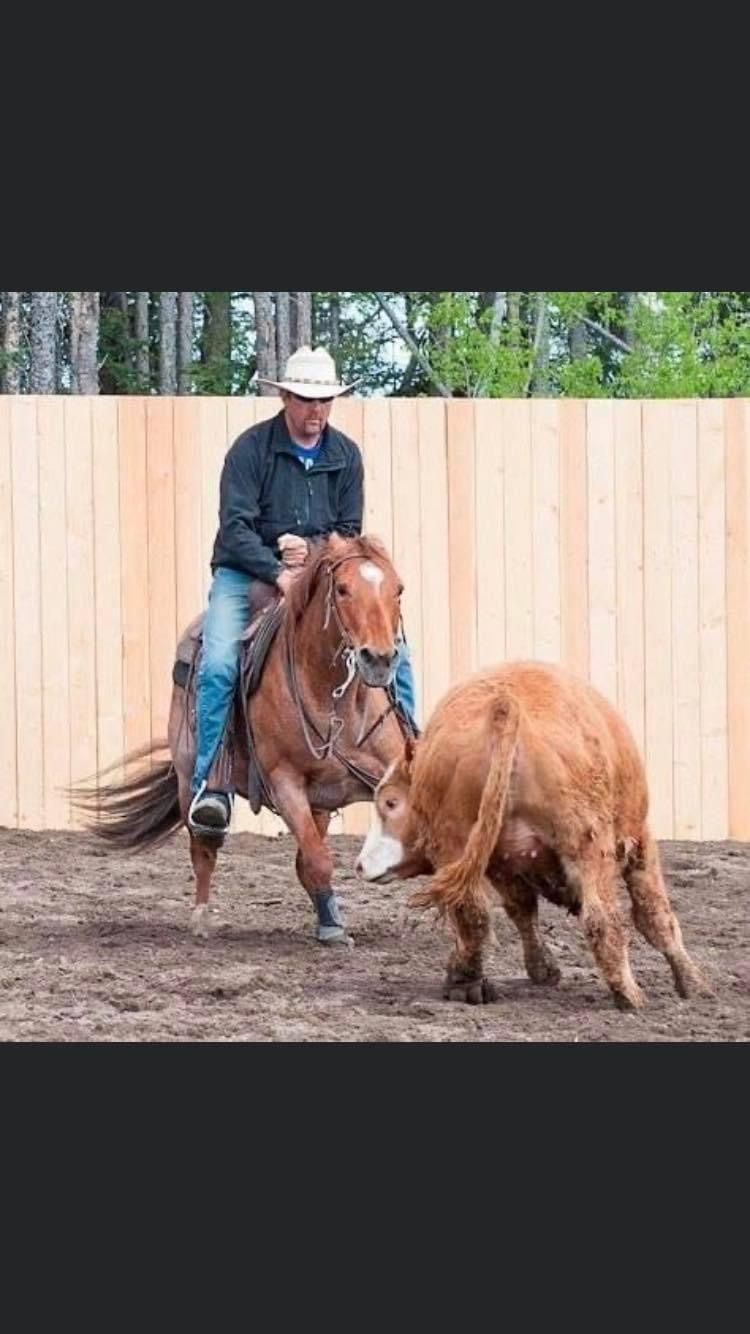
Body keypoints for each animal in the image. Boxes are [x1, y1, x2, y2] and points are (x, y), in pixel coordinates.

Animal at [71, 525, 408, 944]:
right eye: (343, 589)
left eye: (398, 589)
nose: (378, 659)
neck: (332, 700)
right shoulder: (284, 782)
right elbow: (318, 860)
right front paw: (333, 930)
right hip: (190, 777)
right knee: (205, 848)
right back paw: (201, 918)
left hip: (320, 803)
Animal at [352, 661, 709, 1013]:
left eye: (391, 803)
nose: (359, 865)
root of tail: (503, 706)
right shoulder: (639, 839)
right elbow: (655, 915)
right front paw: (692, 983)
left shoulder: (504, 864)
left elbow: (521, 910)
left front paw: (542, 969)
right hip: (586, 843)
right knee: (600, 918)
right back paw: (628, 994)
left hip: (458, 844)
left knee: (470, 911)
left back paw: (464, 982)